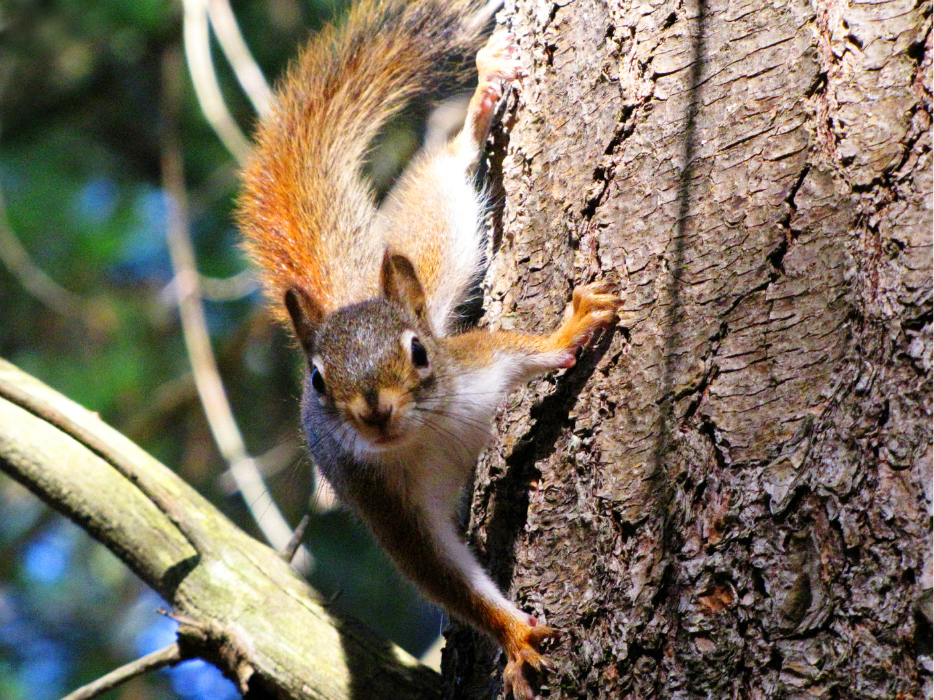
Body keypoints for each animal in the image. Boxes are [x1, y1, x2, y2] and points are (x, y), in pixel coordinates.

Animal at [238, 2, 624, 696]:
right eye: (317, 381)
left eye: (419, 354)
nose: (374, 411)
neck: (423, 434)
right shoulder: (383, 503)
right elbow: (443, 576)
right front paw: (515, 637)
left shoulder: (475, 363)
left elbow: (529, 349)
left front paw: (570, 328)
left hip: (428, 235)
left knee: (443, 171)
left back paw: (479, 106)